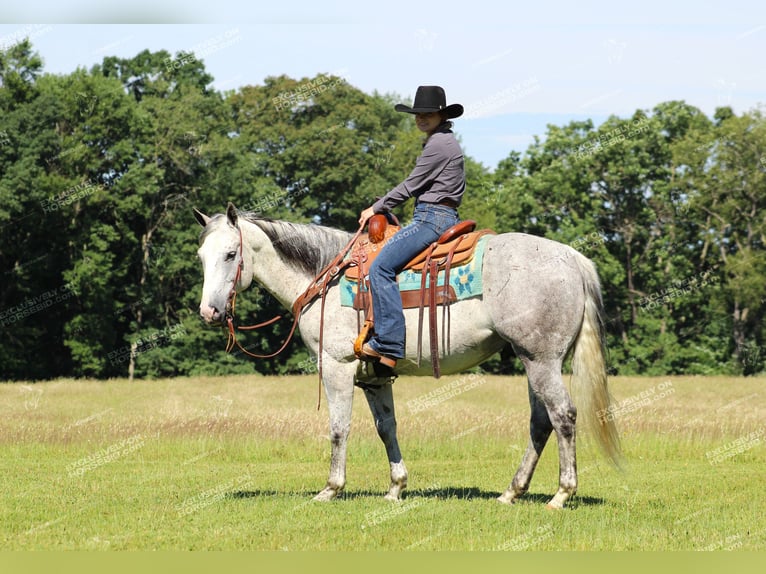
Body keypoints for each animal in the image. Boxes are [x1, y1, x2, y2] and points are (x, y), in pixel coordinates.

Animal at [195, 205, 620, 510]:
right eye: (201, 256)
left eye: (231, 254)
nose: (209, 312)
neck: (324, 276)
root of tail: (571, 258)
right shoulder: (374, 376)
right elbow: (387, 428)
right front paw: (396, 488)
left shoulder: (337, 367)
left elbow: (339, 428)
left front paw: (331, 489)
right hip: (533, 361)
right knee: (540, 422)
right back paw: (511, 492)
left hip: (540, 359)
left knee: (563, 415)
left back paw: (561, 494)